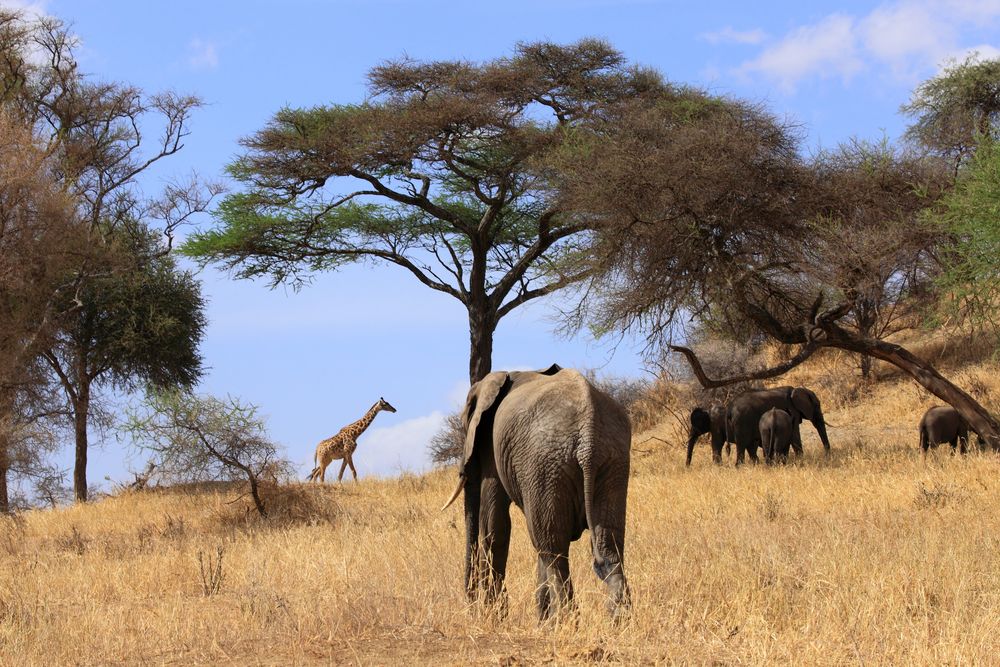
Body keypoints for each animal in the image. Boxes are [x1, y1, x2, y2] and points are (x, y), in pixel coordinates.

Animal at [442, 366, 628, 620]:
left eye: (464, 425)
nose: (472, 608)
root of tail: (588, 439)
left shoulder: (492, 448)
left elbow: (494, 525)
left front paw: (496, 617)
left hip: (545, 463)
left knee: (552, 548)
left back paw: (567, 622)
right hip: (611, 460)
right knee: (607, 543)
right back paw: (617, 621)